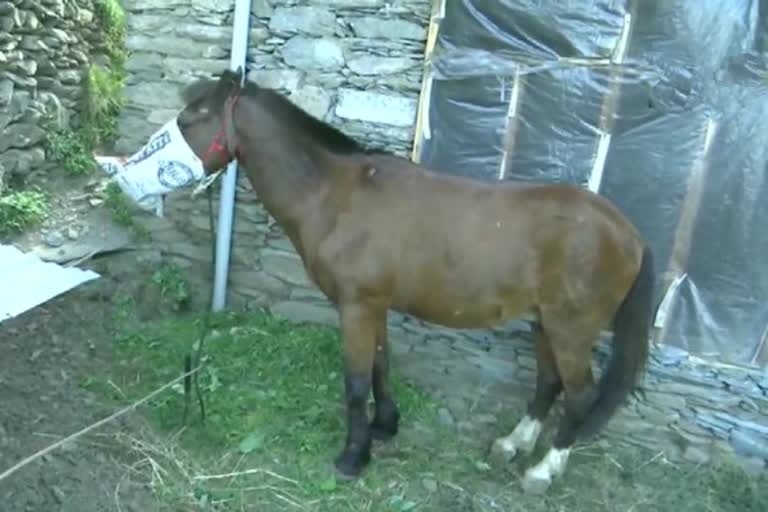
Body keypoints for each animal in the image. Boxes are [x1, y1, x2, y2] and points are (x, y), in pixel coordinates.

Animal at [174, 70, 656, 494]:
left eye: (188, 120)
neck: (338, 196)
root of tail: (628, 230)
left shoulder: (357, 306)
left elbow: (356, 382)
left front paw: (353, 456)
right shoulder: (375, 306)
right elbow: (381, 366)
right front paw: (385, 426)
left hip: (570, 329)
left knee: (579, 396)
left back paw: (543, 470)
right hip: (545, 323)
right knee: (549, 383)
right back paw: (513, 444)